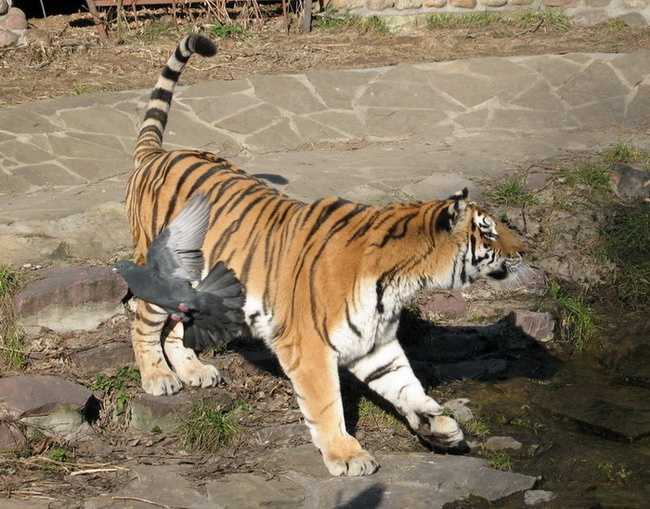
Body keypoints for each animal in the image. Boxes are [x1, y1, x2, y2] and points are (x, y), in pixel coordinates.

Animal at [125, 34, 527, 477]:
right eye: (487, 231)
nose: (525, 250)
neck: (401, 281)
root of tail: (157, 155)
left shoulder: (375, 343)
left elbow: (407, 387)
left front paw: (439, 429)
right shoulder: (309, 346)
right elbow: (326, 404)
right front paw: (347, 455)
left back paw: (194, 370)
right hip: (165, 274)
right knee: (140, 319)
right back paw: (158, 378)